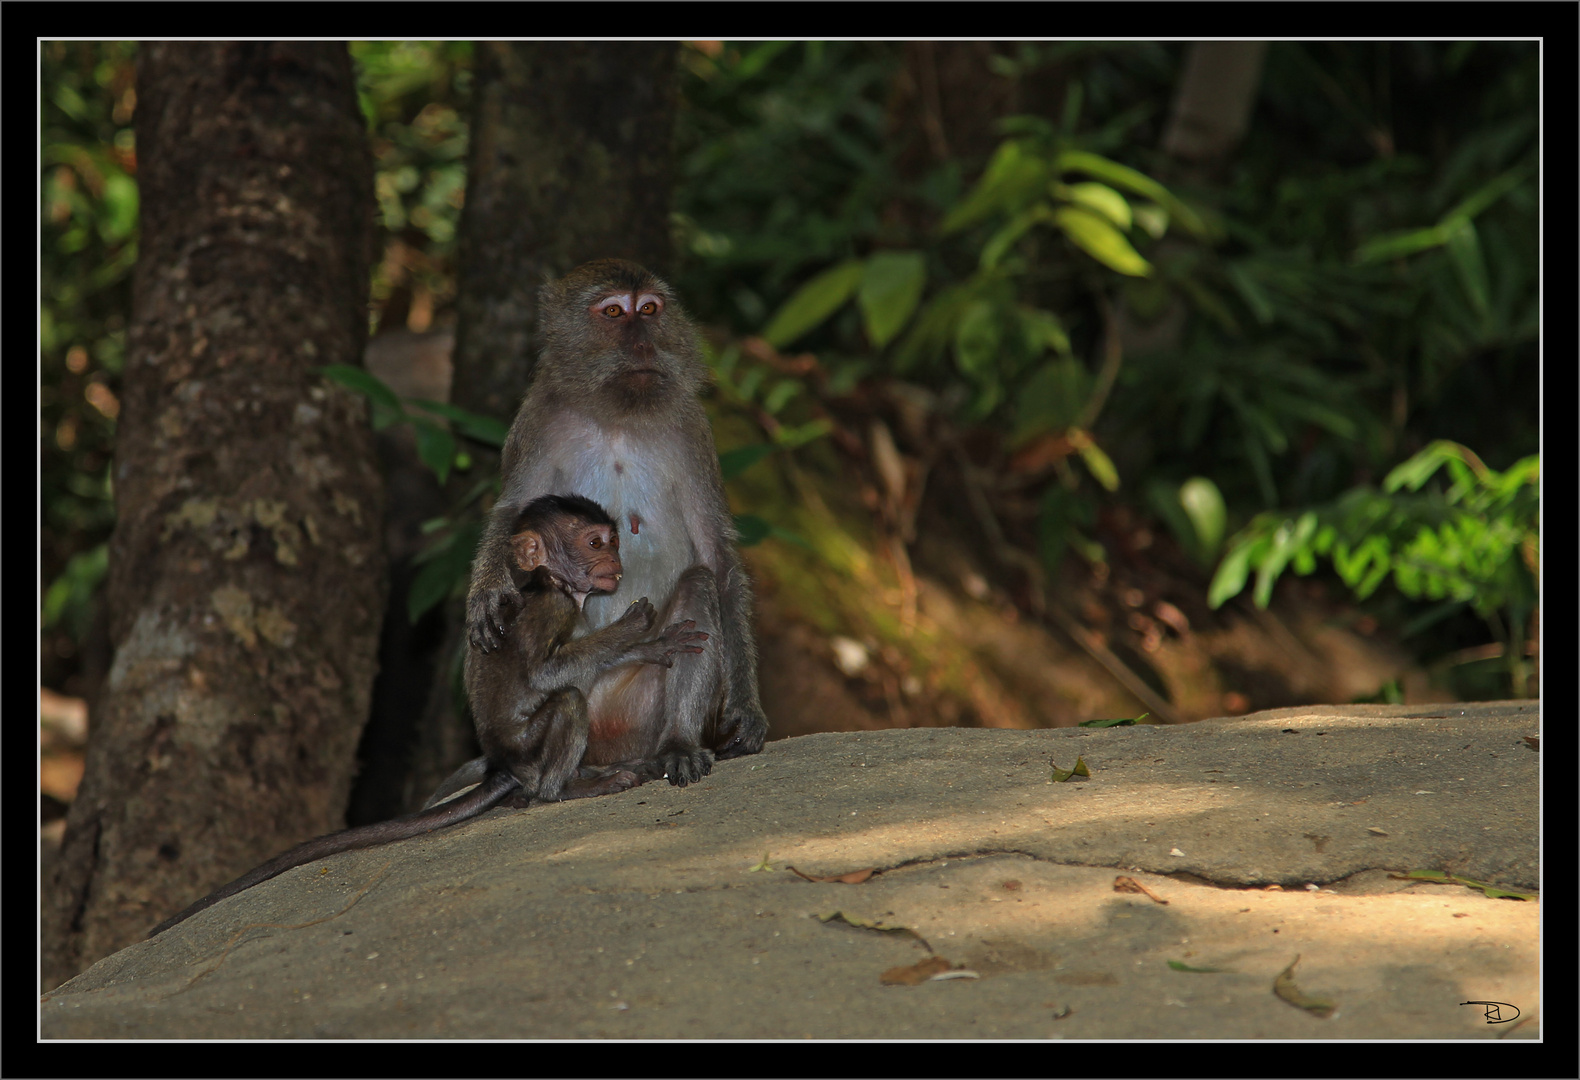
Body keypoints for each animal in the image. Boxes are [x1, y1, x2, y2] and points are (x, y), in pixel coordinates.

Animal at [150, 492, 701, 934]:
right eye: (594, 542)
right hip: (529, 749)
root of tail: (502, 763)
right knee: (565, 704)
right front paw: (630, 631)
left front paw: (652, 647)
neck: (547, 582)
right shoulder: (555, 607)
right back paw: (564, 790)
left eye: (612, 541)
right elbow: (546, 674)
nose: (615, 561)